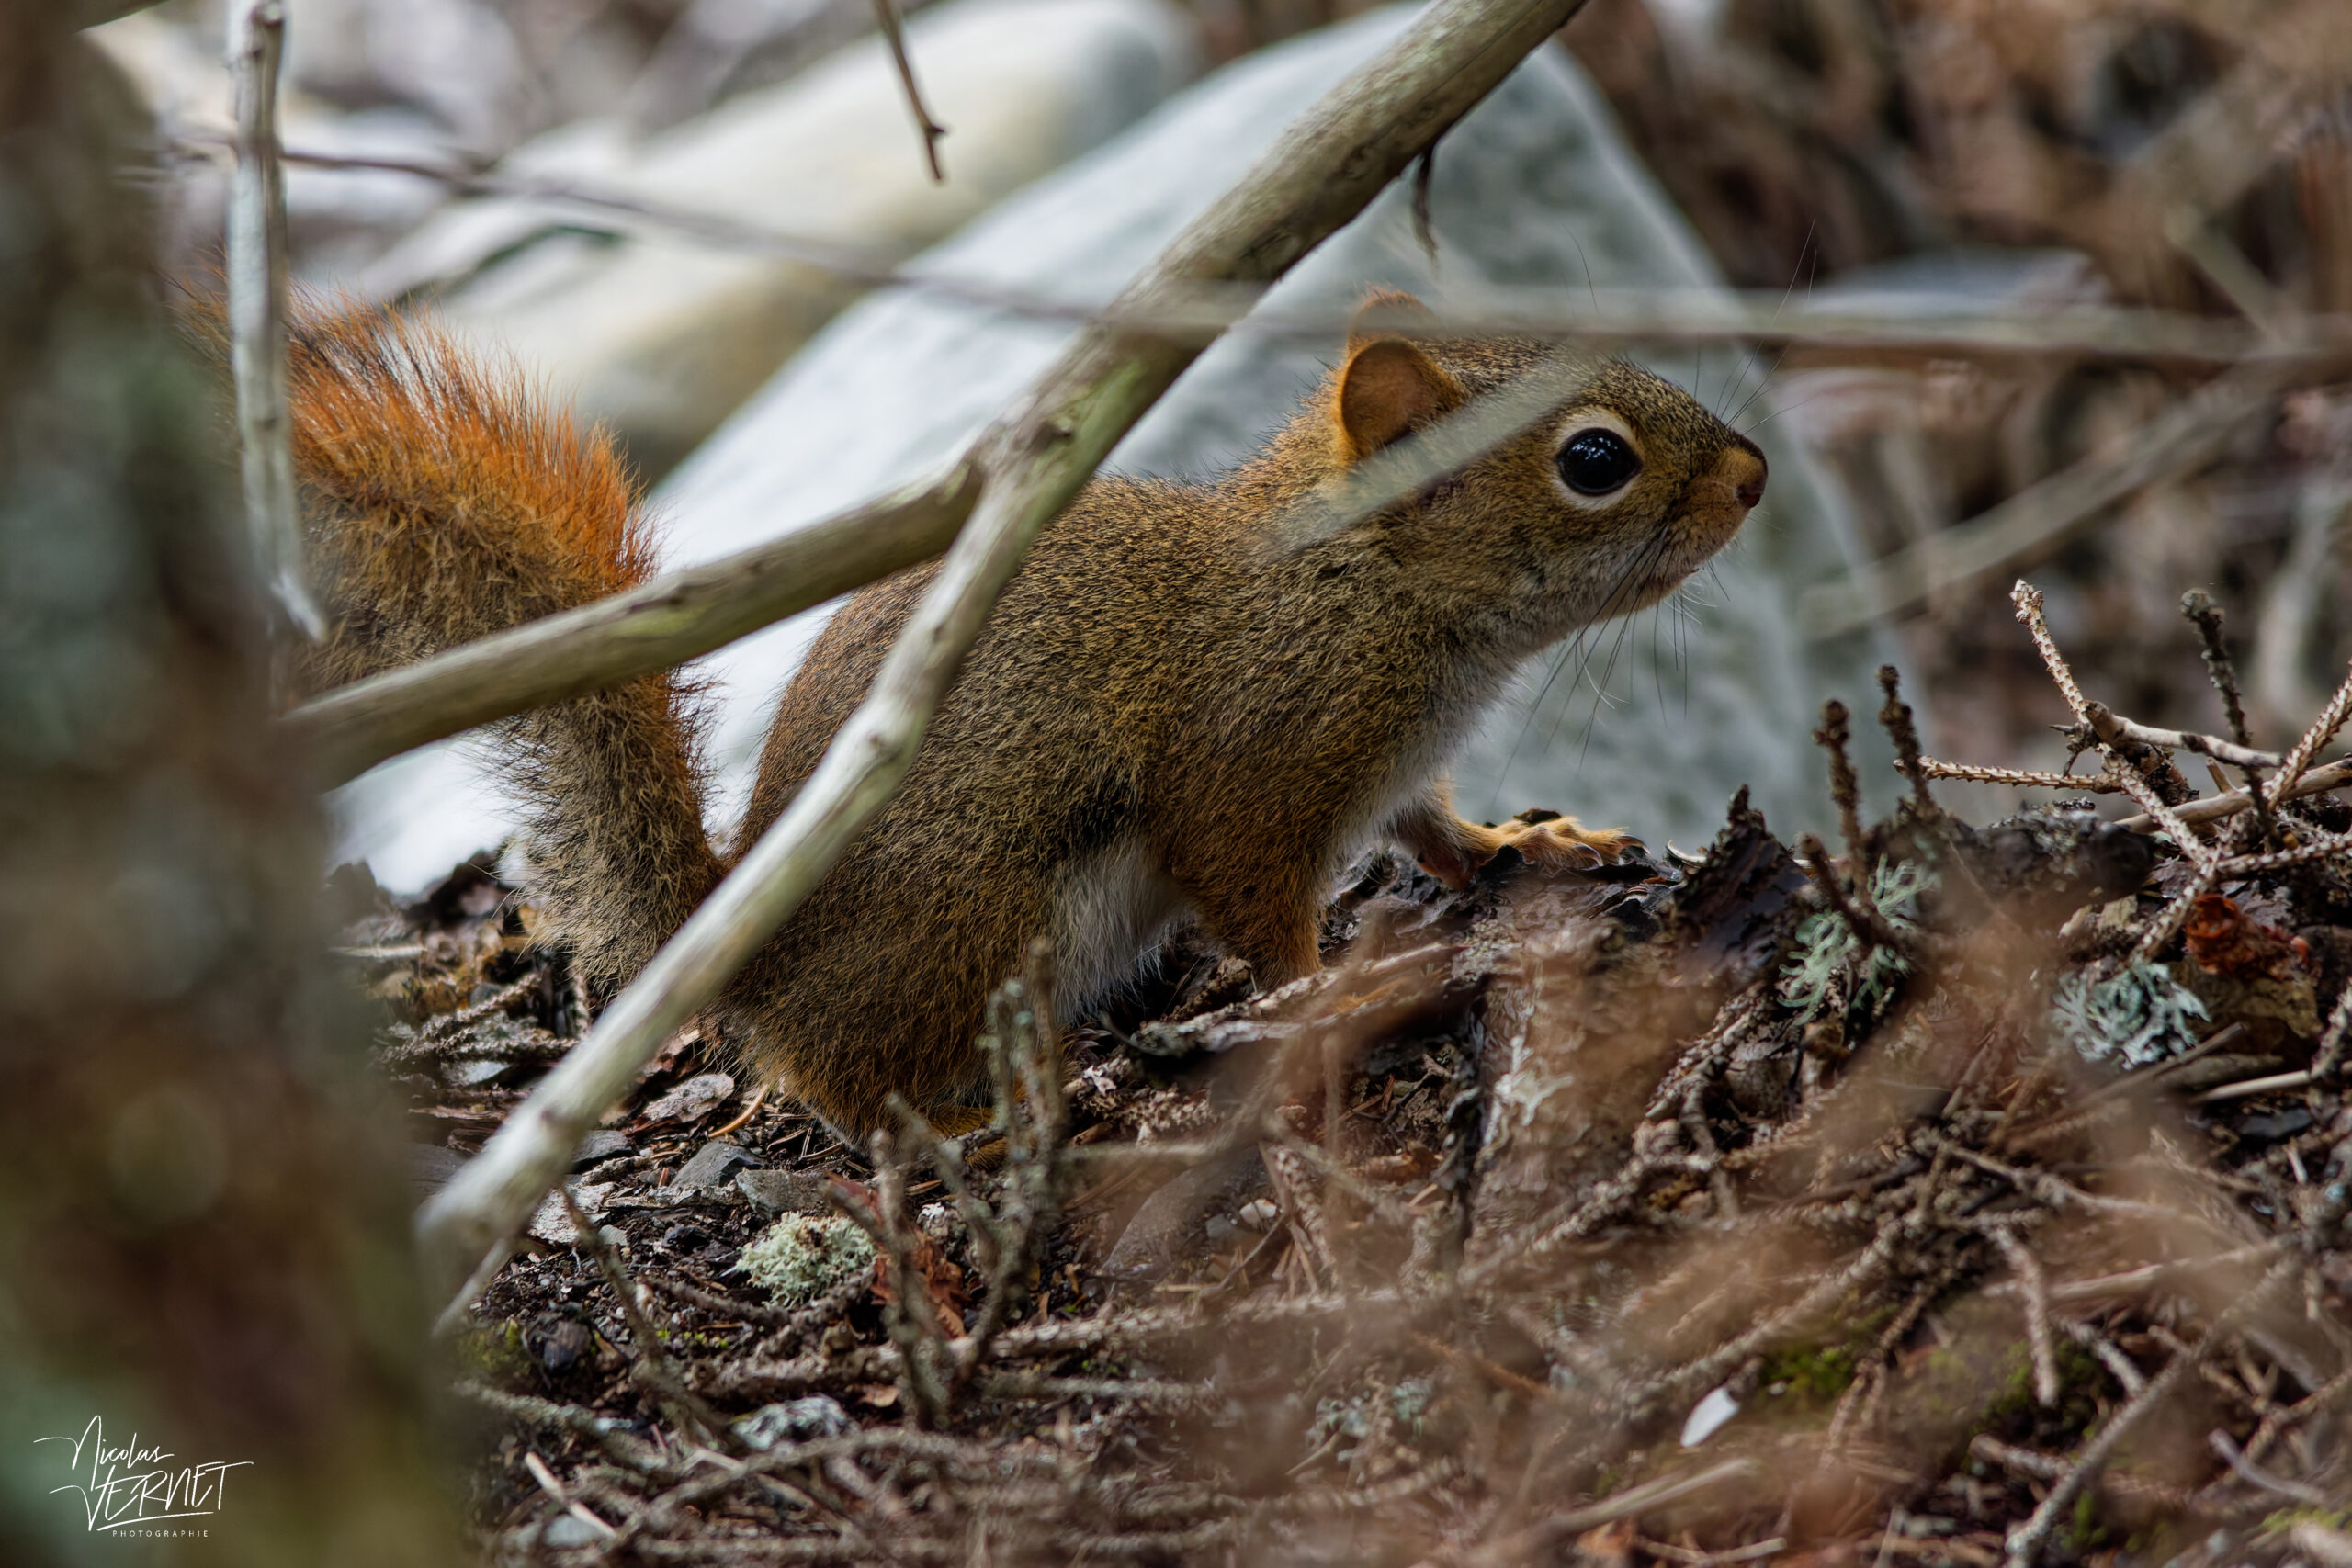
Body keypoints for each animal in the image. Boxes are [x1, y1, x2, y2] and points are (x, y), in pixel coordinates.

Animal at [288, 292, 1765, 1136]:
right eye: (1594, 460)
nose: (1754, 476)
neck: (1364, 585)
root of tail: (748, 942)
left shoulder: (1392, 770)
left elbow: (1438, 833)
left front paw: (1537, 844)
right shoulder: (1252, 761)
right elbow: (1258, 901)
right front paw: (1334, 989)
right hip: (981, 921)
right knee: (834, 1076)